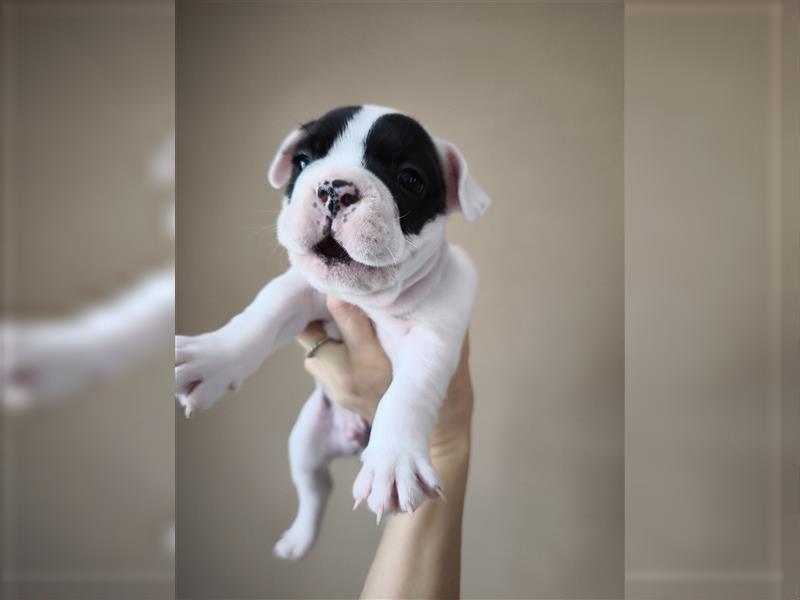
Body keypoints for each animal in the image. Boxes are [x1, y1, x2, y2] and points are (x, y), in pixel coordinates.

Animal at [174, 105, 488, 560]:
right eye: (303, 162)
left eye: (410, 179)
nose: (334, 188)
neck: (373, 301)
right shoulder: (304, 291)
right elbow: (264, 312)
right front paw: (214, 357)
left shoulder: (436, 332)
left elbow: (409, 391)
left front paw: (394, 461)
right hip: (305, 440)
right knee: (315, 486)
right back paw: (299, 539)